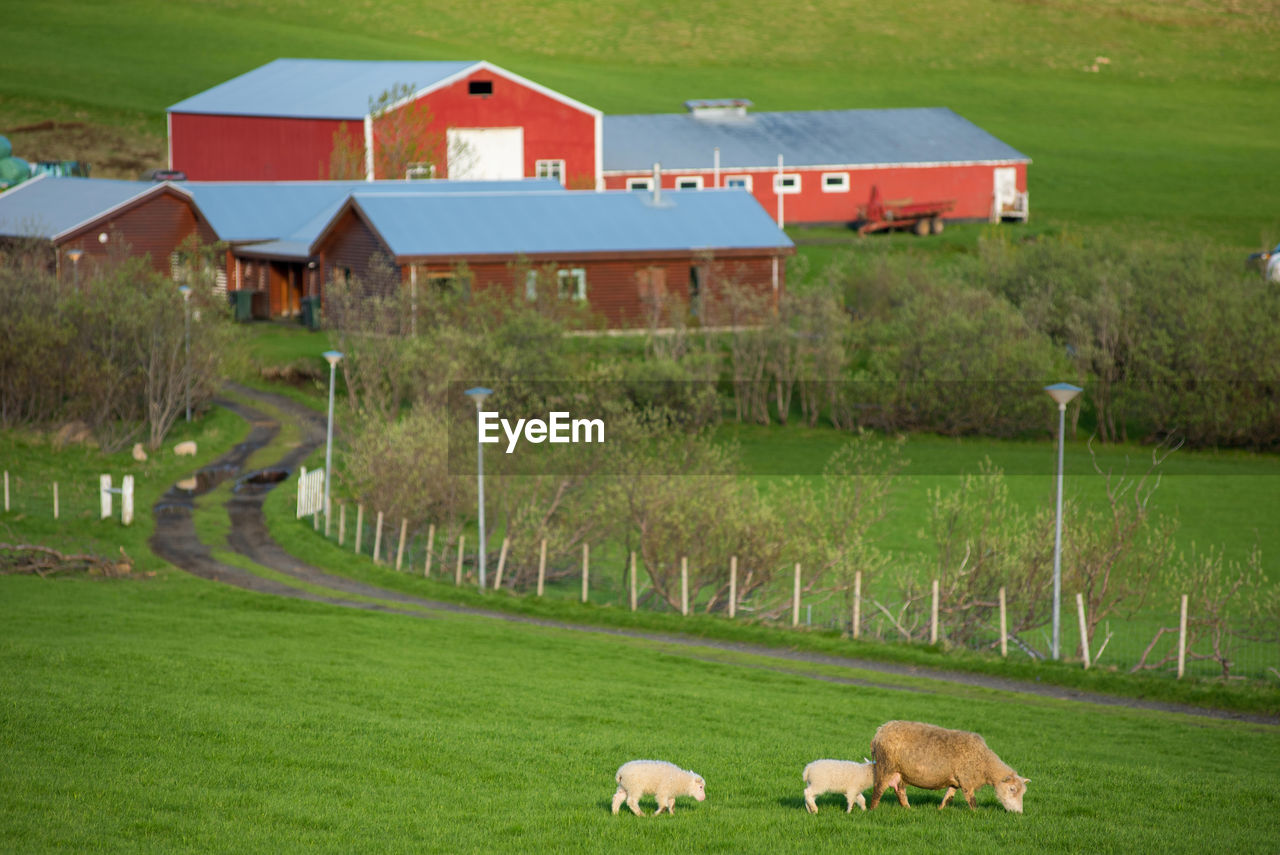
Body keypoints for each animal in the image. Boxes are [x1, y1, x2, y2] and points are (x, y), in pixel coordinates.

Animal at [865, 716, 1024, 814]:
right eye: (1012, 789)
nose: (1018, 813)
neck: (984, 762)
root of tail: (880, 731)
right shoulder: (966, 780)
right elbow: (971, 801)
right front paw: (977, 814)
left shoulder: (956, 781)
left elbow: (949, 797)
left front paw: (940, 810)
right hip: (886, 766)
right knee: (878, 789)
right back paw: (872, 810)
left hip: (900, 772)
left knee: (900, 792)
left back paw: (909, 809)